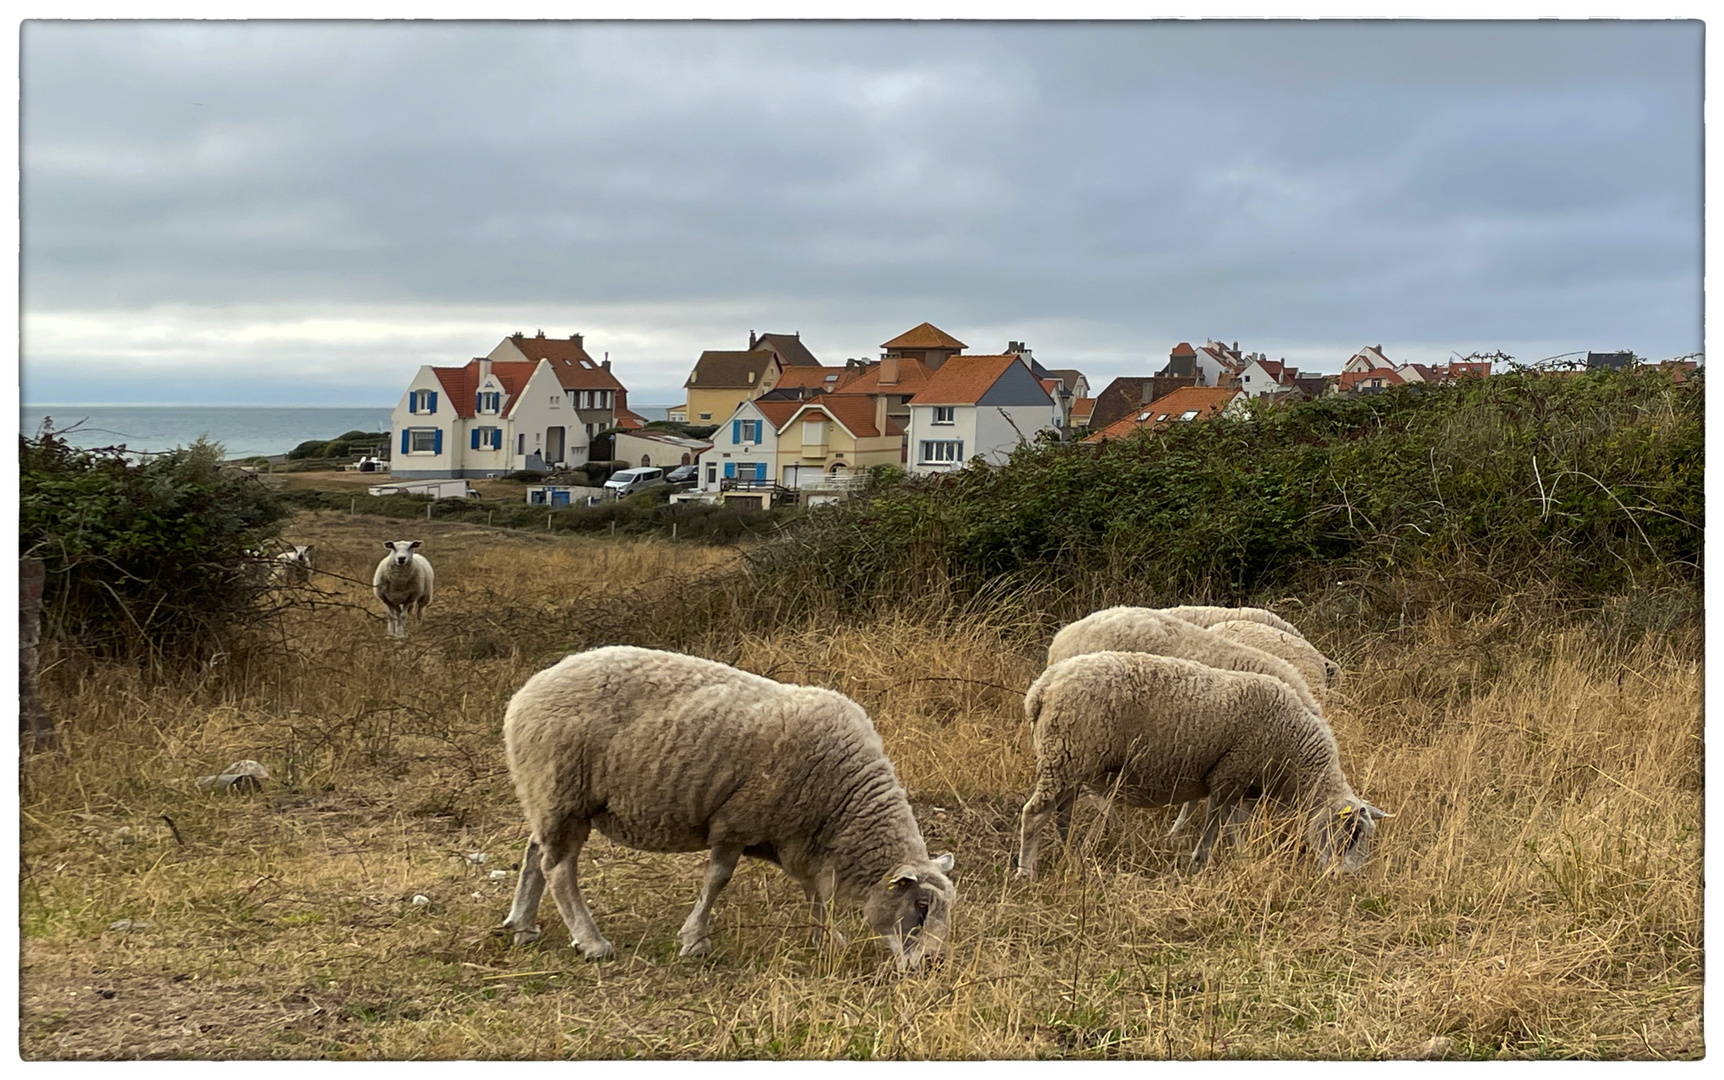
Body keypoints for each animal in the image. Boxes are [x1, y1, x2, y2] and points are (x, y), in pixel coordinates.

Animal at [499, 638, 958, 966]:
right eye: (921, 906)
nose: (931, 964)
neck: (846, 801)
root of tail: (525, 692)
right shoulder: (737, 820)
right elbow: (718, 880)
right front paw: (694, 940)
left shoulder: (799, 839)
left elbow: (816, 891)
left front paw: (826, 938)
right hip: (563, 792)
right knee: (558, 869)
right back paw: (591, 941)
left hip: (548, 795)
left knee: (535, 853)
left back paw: (523, 925)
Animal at [1006, 648, 1386, 876]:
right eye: (1351, 835)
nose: (1346, 878)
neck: (1294, 751)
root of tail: (1042, 687)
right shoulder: (1229, 776)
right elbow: (1214, 828)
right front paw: (1200, 865)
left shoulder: (1243, 785)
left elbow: (1236, 828)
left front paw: (1242, 859)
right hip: (1067, 754)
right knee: (1035, 814)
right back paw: (1027, 871)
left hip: (1071, 762)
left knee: (1061, 814)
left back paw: (1072, 855)